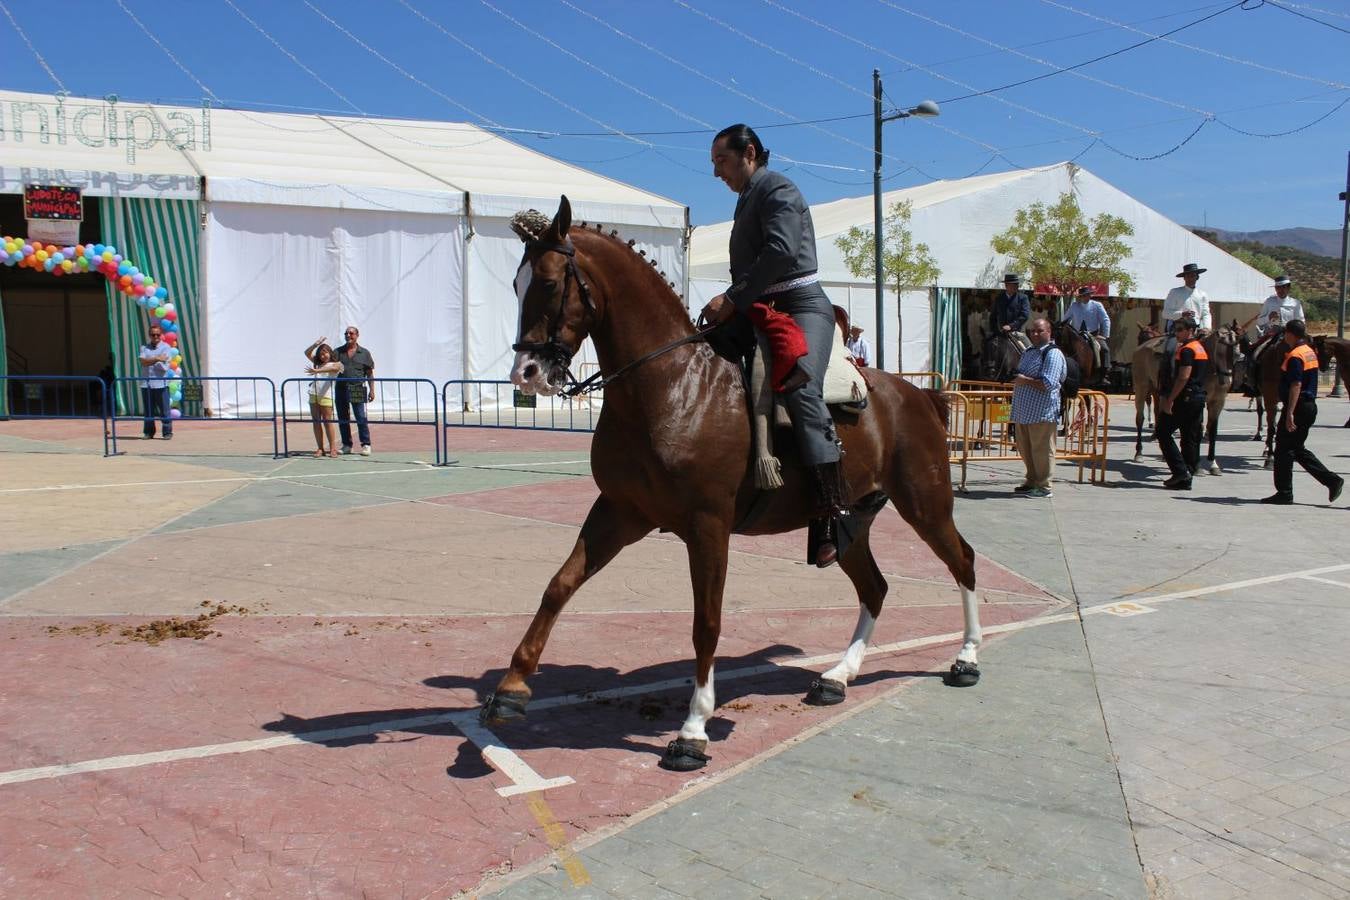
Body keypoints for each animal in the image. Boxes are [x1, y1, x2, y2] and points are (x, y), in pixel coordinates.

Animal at [481, 197, 984, 772]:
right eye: (516, 283)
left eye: (547, 282)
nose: (526, 373)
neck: (672, 384)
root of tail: (920, 396)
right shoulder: (619, 512)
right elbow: (559, 586)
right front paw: (511, 688)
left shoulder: (707, 527)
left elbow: (707, 622)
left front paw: (693, 729)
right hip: (850, 524)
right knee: (875, 588)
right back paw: (837, 677)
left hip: (925, 504)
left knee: (962, 561)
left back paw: (966, 658)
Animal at [1131, 326, 1239, 475]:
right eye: (1221, 352)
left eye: (1236, 352)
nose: (1226, 381)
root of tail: (1141, 347)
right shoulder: (1199, 402)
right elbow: (1197, 431)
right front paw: (1198, 466)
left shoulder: (1218, 402)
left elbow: (1212, 432)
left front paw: (1213, 464)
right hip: (1142, 388)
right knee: (1140, 419)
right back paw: (1139, 453)